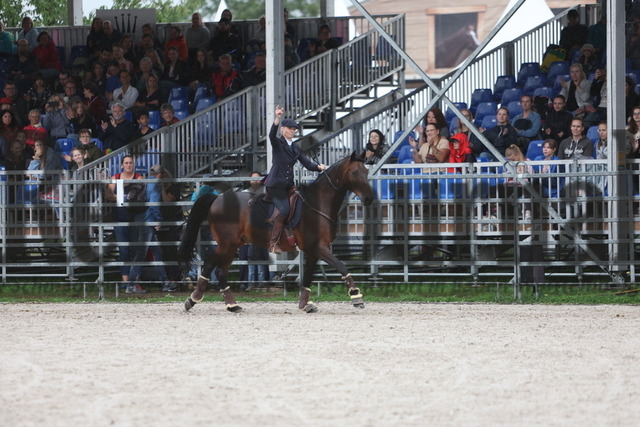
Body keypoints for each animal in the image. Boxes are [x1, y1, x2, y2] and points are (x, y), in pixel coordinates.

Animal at [176, 152, 376, 312]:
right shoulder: (318, 247)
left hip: (233, 245)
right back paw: (199, 300)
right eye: (355, 172)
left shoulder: (313, 251)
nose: (368, 199)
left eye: (366, 172)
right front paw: (356, 296)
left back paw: (227, 304)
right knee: (212, 267)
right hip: (227, 244)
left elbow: (307, 278)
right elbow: (341, 266)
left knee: (219, 270)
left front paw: (304, 304)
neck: (315, 205)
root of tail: (217, 199)